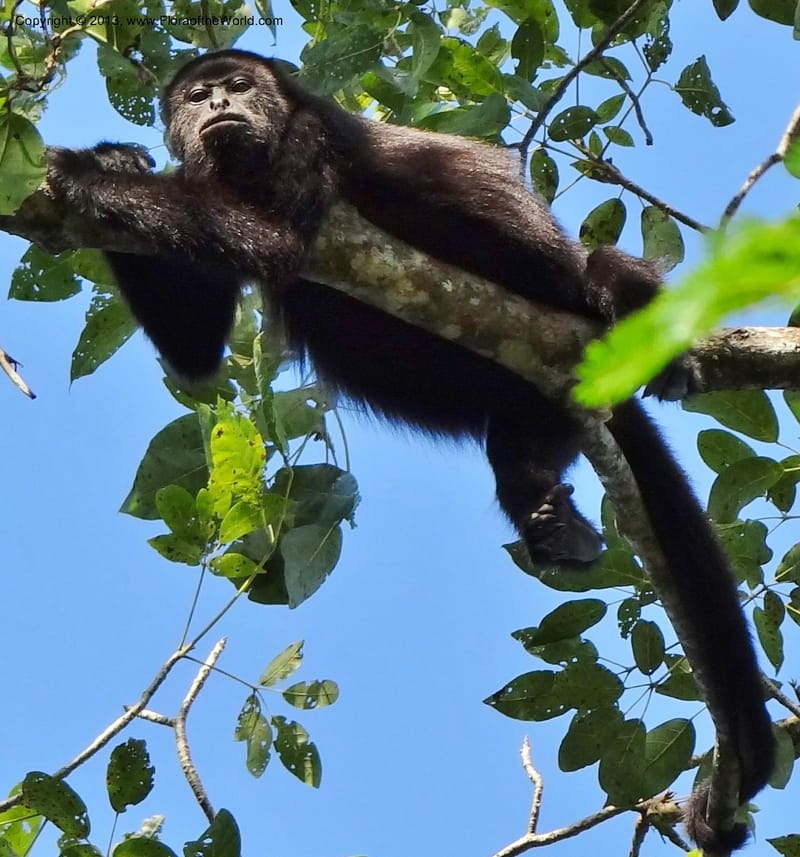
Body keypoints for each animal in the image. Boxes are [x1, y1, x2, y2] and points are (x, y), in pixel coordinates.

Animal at [43, 50, 773, 850]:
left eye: (237, 87)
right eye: (198, 95)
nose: (218, 106)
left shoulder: (308, 136)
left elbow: (277, 242)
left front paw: (78, 173)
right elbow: (196, 354)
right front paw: (112, 161)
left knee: (597, 267)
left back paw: (635, 314)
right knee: (512, 442)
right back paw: (550, 518)